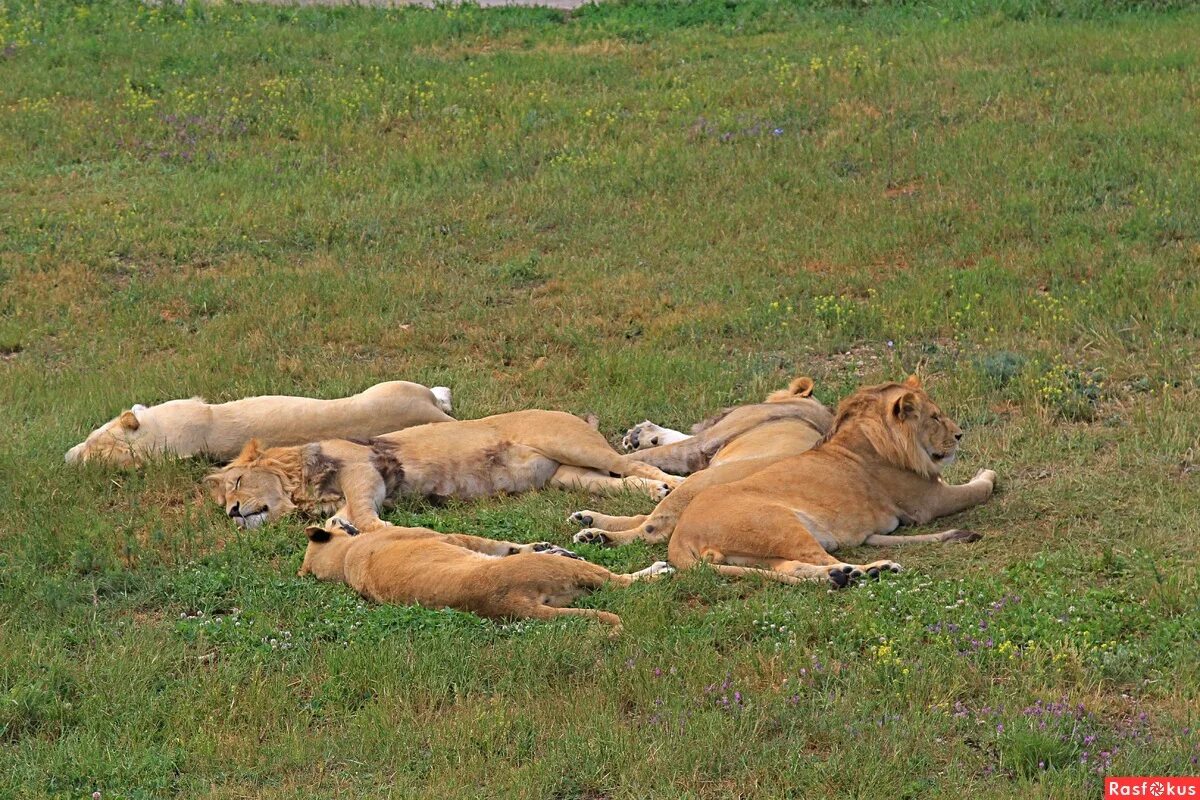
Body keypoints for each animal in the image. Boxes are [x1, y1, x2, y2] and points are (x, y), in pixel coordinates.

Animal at [206, 412, 686, 532]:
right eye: (223, 500)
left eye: (236, 483)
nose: (232, 511)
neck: (301, 492)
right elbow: (342, 514)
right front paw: (338, 525)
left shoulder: (362, 468)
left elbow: (362, 510)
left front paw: (372, 529)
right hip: (567, 475)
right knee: (622, 483)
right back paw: (651, 494)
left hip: (571, 443)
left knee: (636, 463)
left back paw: (674, 485)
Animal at [297, 520, 676, 633]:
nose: (341, 518)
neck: (346, 558)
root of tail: (511, 602)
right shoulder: (452, 538)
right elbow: (497, 544)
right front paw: (548, 547)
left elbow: (506, 546)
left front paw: (543, 545)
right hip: (581, 575)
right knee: (622, 582)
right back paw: (659, 570)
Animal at [568, 379, 835, 546]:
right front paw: (642, 435)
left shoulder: (704, 443)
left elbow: (643, 456)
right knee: (642, 518)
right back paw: (588, 520)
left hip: (698, 482)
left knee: (650, 529)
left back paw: (598, 536)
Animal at [667, 376, 993, 587]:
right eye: (935, 418)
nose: (960, 435)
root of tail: (679, 535)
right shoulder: (929, 502)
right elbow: (981, 488)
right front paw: (985, 474)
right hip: (780, 524)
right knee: (820, 557)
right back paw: (871, 570)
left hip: (754, 557)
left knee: (795, 567)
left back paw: (845, 576)